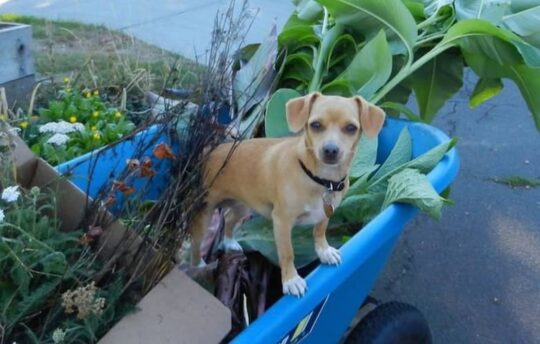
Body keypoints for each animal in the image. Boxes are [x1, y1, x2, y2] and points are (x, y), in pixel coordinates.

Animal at [190, 92, 384, 296]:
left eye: (351, 128)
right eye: (315, 125)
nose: (330, 150)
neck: (319, 179)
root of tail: (211, 152)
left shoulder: (325, 213)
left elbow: (320, 231)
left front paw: (324, 251)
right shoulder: (282, 223)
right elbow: (288, 253)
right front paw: (291, 280)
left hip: (243, 206)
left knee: (228, 218)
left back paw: (229, 242)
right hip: (204, 215)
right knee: (196, 241)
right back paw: (199, 267)